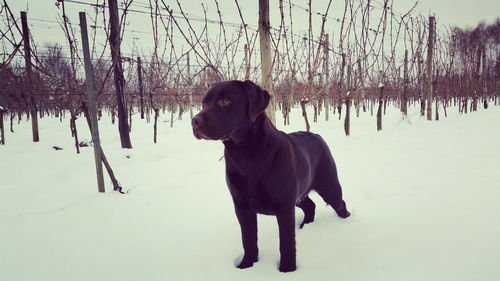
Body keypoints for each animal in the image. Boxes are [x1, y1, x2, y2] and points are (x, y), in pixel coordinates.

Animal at [189, 79, 350, 272]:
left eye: (225, 101)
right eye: (204, 103)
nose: (194, 121)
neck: (247, 156)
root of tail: (317, 135)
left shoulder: (284, 206)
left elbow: (286, 243)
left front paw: (287, 270)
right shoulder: (242, 206)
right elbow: (248, 240)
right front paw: (246, 266)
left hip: (329, 186)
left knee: (340, 204)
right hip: (299, 194)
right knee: (310, 205)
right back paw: (305, 227)